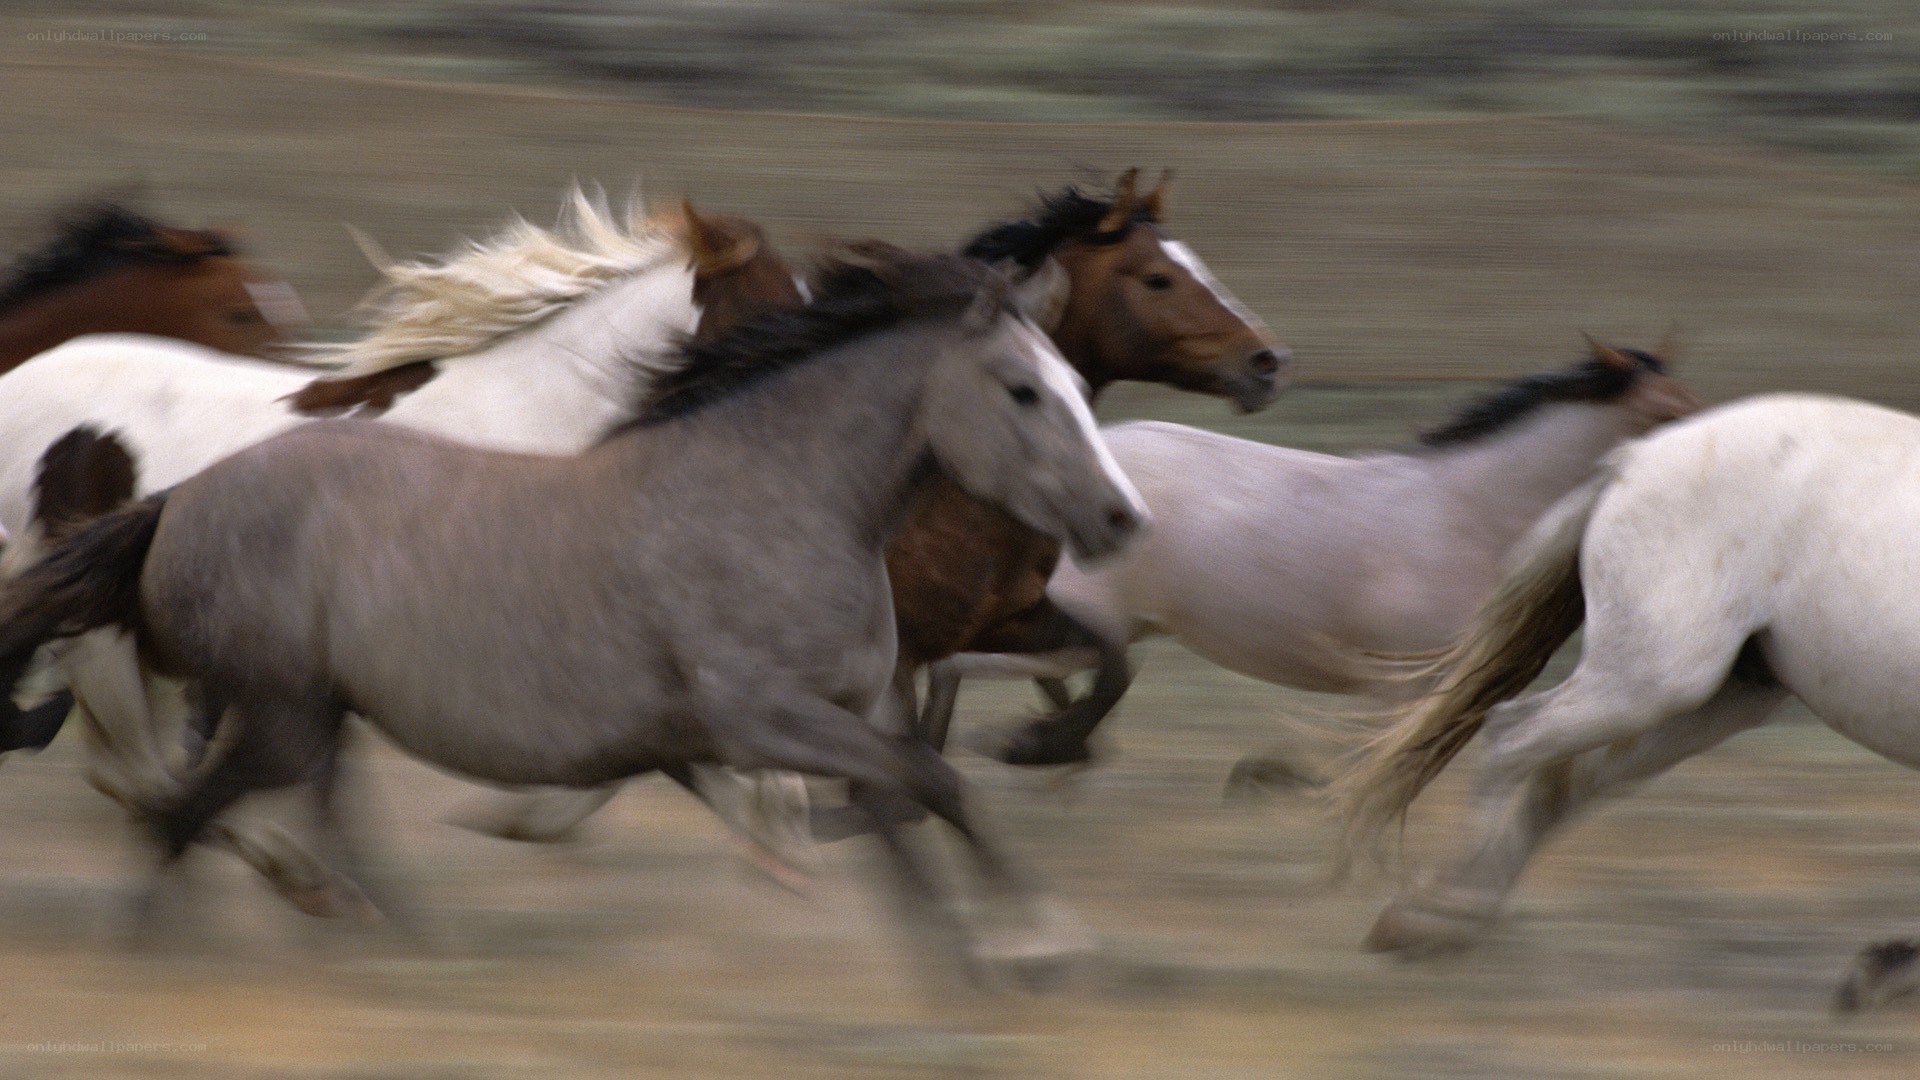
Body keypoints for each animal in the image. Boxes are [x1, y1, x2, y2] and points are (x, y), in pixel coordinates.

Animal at [467, 168, 1292, 844]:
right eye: (1157, 278)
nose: (1266, 362)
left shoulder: (999, 620)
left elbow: (1113, 662)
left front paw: (1039, 743)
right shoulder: (895, 654)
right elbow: (900, 774)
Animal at [1332, 392, 1920, 1011]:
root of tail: (1633, 458)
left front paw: (1885, 970)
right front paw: (1886, 971)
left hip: (1713, 700)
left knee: (1562, 778)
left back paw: (1428, 923)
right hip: (1654, 680)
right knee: (1511, 736)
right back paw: (1447, 913)